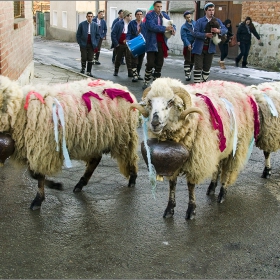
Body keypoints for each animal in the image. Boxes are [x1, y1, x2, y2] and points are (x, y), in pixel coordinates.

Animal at [0, 75, 140, 209]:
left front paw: (41, 197)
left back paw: (132, 179)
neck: (21, 111)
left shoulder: (43, 150)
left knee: (130, 157)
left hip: (123, 137)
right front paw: (52, 187)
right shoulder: (35, 150)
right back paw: (81, 183)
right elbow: (34, 174)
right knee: (95, 159)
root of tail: (125, 90)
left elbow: (37, 176)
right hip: (93, 140)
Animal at [132, 77, 260, 220]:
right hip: (220, 146)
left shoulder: (196, 160)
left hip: (236, 147)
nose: (155, 123)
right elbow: (172, 184)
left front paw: (191, 210)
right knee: (217, 167)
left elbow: (191, 185)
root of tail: (239, 87)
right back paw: (211, 188)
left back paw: (222, 194)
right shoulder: (174, 162)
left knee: (228, 171)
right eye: (150, 102)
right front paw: (169, 209)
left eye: (171, 102)